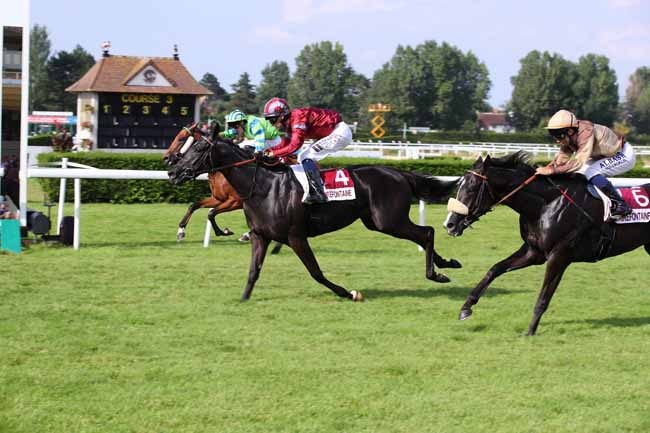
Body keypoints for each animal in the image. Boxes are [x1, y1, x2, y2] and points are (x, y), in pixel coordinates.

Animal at [167, 134, 460, 300]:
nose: (172, 171)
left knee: (427, 232)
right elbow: (253, 272)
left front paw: (348, 292)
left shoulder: (296, 236)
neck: (263, 186)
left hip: (388, 220)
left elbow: (316, 272)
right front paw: (243, 300)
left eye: (196, 150)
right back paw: (446, 263)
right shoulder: (260, 236)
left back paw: (437, 274)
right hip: (377, 222)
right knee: (423, 235)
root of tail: (398, 172)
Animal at [442, 150, 648, 336]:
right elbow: (495, 269)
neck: (545, 206)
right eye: (459, 185)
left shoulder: (559, 256)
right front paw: (466, 307)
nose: (449, 224)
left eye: (472, 187)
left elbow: (543, 297)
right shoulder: (533, 252)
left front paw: (530, 331)